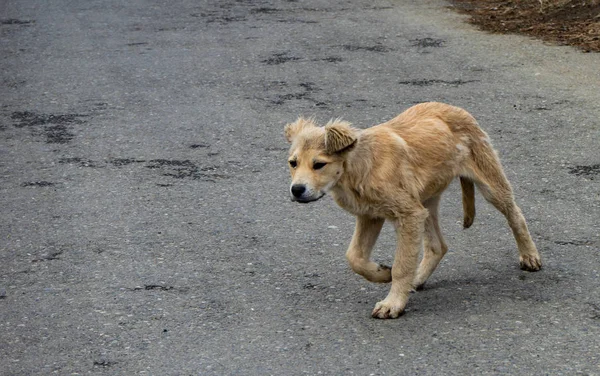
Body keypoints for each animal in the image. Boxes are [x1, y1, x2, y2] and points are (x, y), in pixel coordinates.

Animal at [284, 101, 540, 318]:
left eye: (319, 164)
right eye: (293, 163)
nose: (296, 190)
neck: (360, 166)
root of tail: (454, 108)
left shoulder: (407, 214)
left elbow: (402, 264)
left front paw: (393, 303)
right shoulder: (370, 215)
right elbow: (354, 257)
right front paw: (382, 274)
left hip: (489, 184)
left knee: (516, 215)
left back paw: (529, 256)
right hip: (425, 202)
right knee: (438, 246)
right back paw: (416, 280)